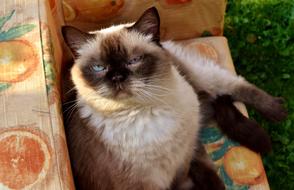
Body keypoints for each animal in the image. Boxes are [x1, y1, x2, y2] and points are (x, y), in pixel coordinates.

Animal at [62, 6, 288, 189]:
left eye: (134, 60)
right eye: (99, 68)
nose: (117, 78)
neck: (144, 114)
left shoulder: (182, 162)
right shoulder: (144, 183)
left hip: (202, 76)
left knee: (234, 86)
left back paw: (278, 112)